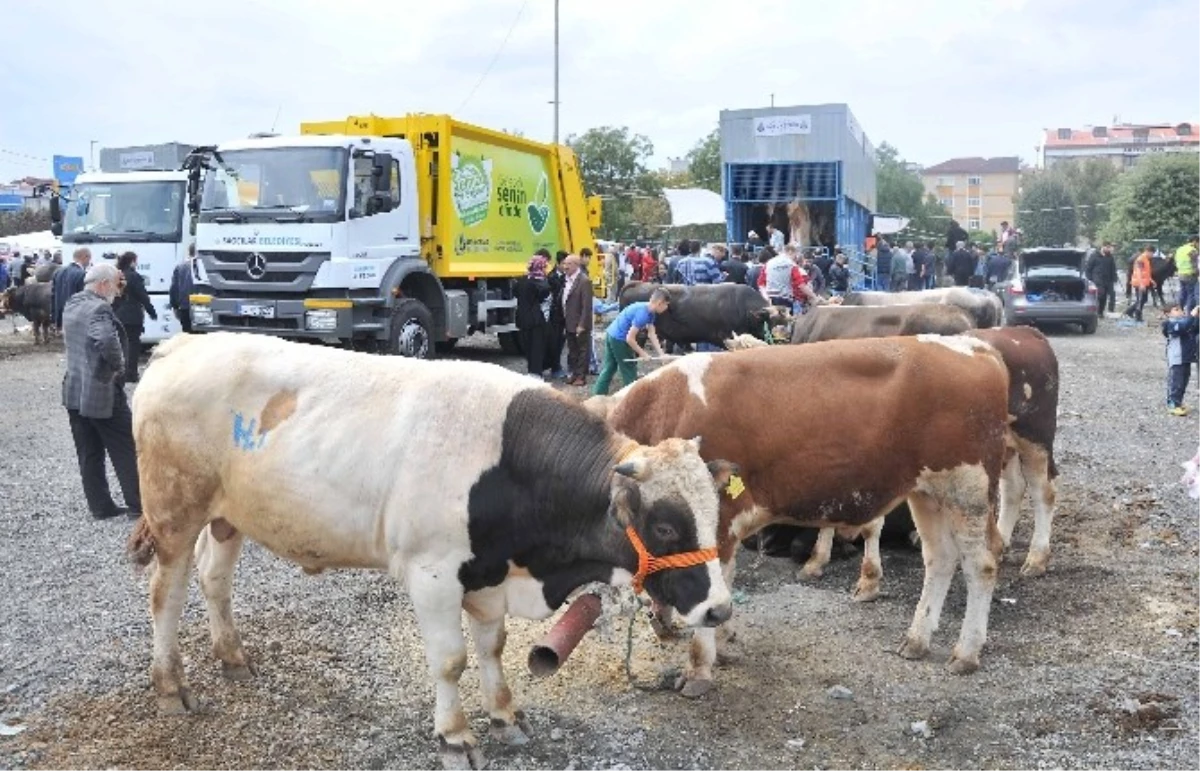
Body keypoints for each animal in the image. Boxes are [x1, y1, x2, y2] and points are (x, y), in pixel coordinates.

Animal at [590, 333, 1012, 691]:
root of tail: (975, 347)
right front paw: (723, 641)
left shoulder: (720, 522)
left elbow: (713, 592)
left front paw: (699, 667)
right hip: (927, 493)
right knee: (940, 559)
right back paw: (917, 639)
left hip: (968, 490)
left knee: (981, 566)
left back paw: (967, 652)